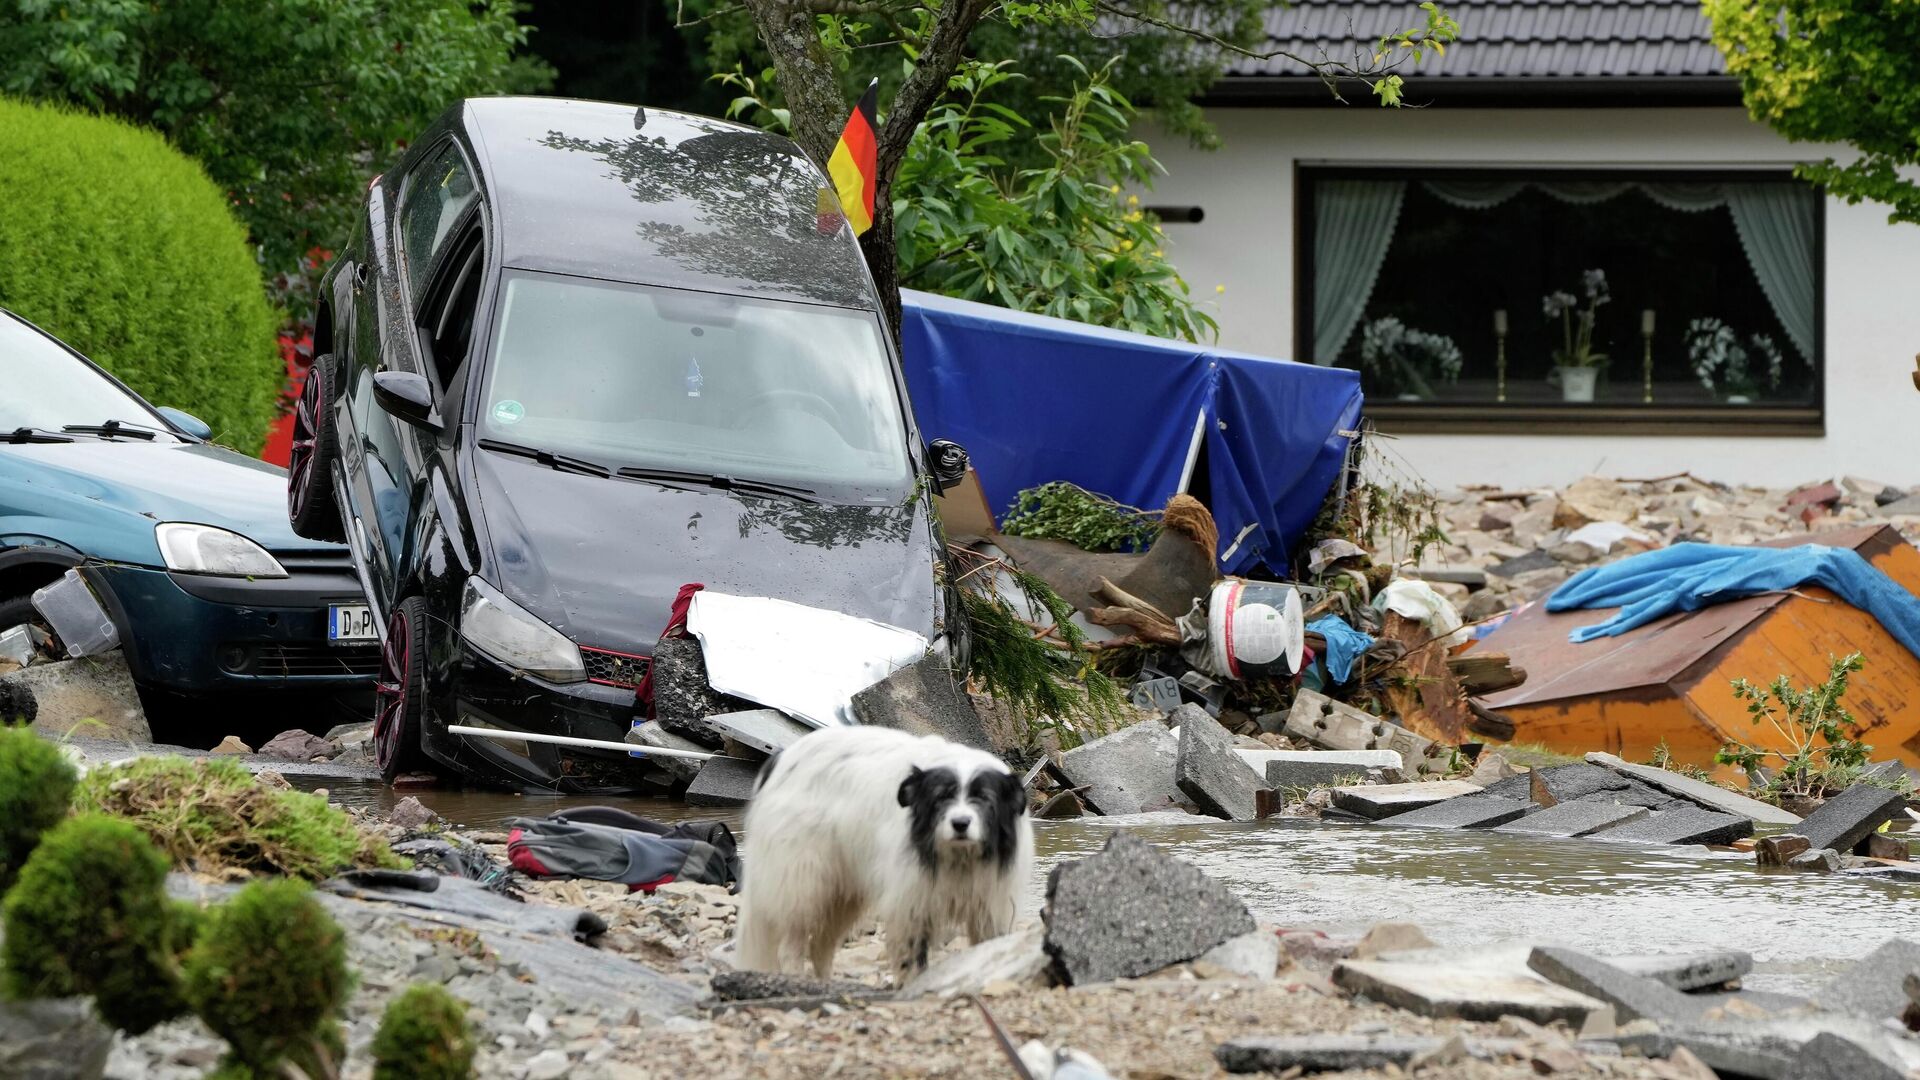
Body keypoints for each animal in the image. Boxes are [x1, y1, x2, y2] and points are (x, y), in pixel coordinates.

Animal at [733, 722, 1036, 983]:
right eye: (941, 798)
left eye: (985, 799)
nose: (960, 823)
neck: (959, 857)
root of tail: (780, 760)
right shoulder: (912, 903)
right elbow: (912, 958)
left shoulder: (991, 905)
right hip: (804, 881)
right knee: (792, 946)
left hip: (842, 890)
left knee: (821, 946)